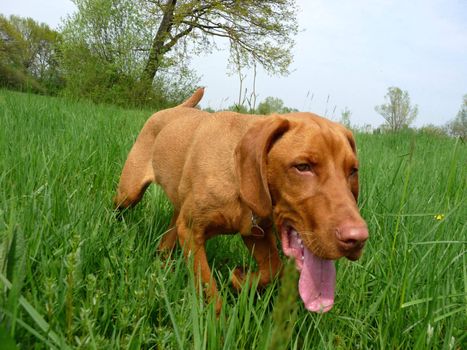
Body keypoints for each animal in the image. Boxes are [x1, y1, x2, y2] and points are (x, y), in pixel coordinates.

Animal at [114, 89, 370, 314]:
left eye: (353, 171)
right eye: (303, 167)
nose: (357, 240)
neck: (237, 178)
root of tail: (173, 109)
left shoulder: (255, 233)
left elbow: (273, 270)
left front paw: (240, 279)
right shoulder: (192, 232)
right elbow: (209, 288)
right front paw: (216, 325)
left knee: (167, 238)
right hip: (129, 193)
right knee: (118, 210)